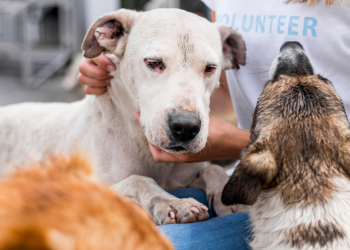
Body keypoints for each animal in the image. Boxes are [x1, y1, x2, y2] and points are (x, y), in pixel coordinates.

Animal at [0, 8, 246, 226]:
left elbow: (214, 169)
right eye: (153, 63)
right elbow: (138, 180)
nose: (185, 127)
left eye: (210, 68)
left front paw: (230, 198)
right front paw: (173, 203)